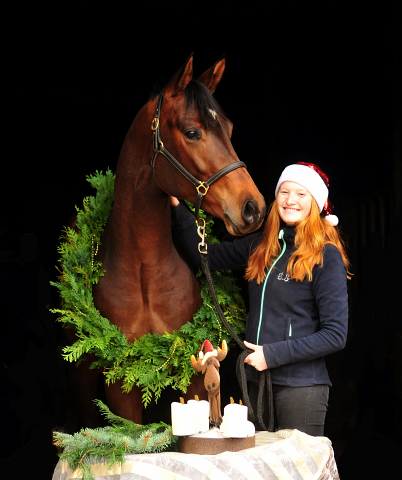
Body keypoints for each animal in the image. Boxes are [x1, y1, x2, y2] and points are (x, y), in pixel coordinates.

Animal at [67, 55, 266, 428]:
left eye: (229, 129)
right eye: (192, 132)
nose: (253, 208)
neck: (144, 269)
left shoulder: (194, 373)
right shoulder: (120, 381)